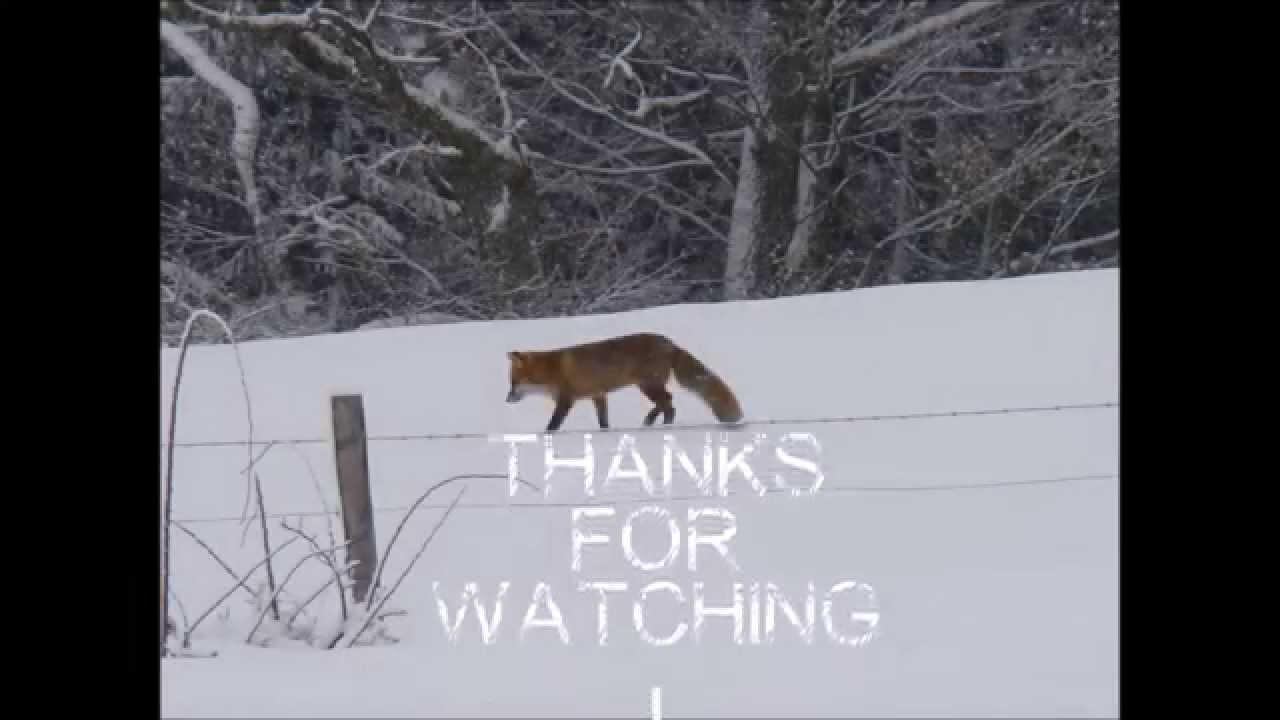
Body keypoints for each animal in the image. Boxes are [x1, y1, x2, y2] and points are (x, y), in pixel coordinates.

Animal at [505, 332, 744, 432]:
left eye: (513, 383)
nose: (506, 400)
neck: (550, 370)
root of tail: (669, 343)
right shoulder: (598, 395)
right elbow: (603, 422)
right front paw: (606, 433)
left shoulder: (566, 400)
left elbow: (553, 425)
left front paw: (546, 435)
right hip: (648, 386)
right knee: (667, 402)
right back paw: (651, 421)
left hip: (648, 386)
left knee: (669, 403)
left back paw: (661, 424)